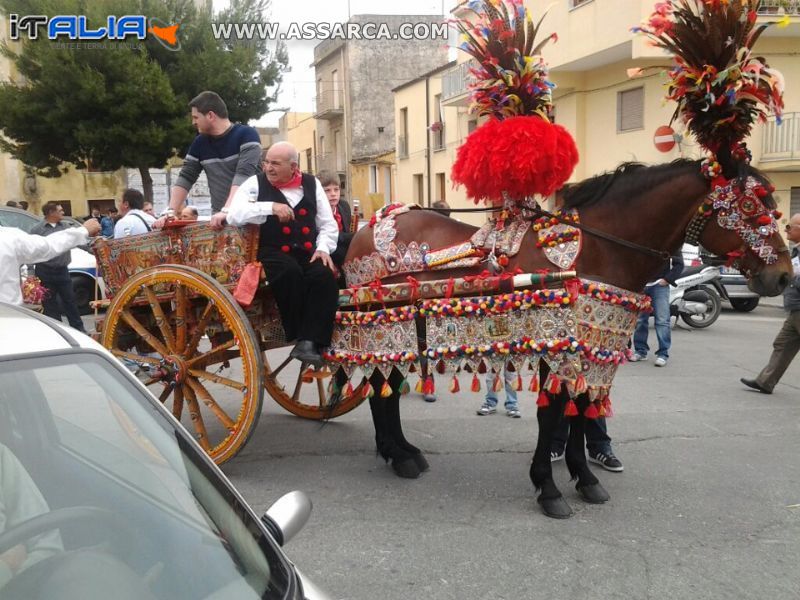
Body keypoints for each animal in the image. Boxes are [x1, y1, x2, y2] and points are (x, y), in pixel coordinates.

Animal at [340, 157, 792, 516]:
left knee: (386, 386)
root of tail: (368, 227)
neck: (598, 250)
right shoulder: (557, 346)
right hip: (382, 325)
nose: (784, 276)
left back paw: (400, 451)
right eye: (751, 206)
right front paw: (548, 487)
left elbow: (582, 410)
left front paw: (585, 478)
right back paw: (399, 455)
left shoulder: (593, 346)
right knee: (381, 385)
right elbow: (554, 414)